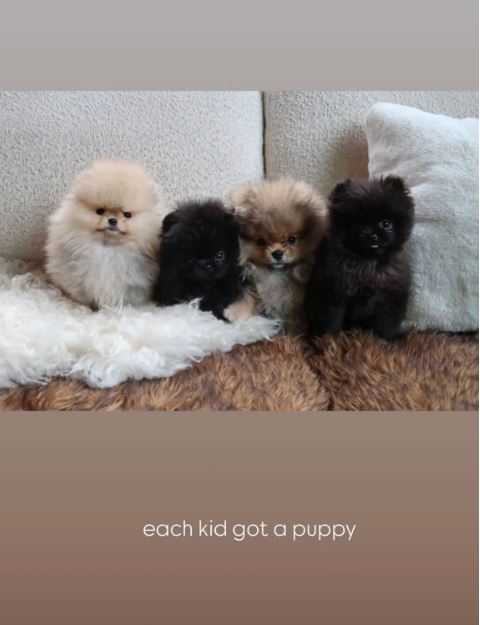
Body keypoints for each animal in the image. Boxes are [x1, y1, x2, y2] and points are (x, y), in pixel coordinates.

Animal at [304, 175, 415, 341]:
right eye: (359, 225)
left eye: (386, 223)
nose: (373, 235)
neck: (368, 264)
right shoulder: (333, 293)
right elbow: (331, 322)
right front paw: (330, 341)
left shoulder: (392, 294)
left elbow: (387, 324)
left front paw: (385, 342)